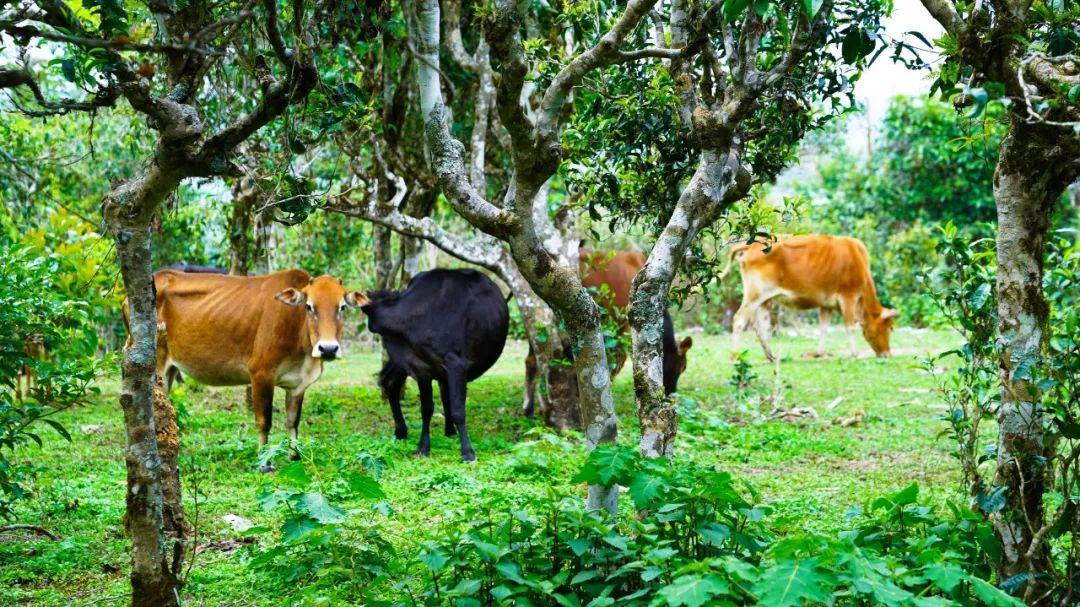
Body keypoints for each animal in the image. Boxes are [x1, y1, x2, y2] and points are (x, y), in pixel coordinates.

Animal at [130, 265, 365, 468]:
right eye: (309, 306)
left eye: (342, 307)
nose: (328, 349)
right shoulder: (261, 374)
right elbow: (264, 421)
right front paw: (264, 463)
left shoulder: (298, 385)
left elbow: (293, 421)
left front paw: (295, 456)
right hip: (156, 364)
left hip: (169, 371)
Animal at [362, 266, 509, 460]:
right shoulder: (420, 368)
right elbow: (426, 409)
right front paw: (423, 447)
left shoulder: (456, 364)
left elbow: (458, 409)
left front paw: (467, 452)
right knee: (391, 382)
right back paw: (404, 430)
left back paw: (447, 431)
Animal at [520, 248, 691, 412]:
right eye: (683, 367)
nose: (671, 394)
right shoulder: (621, 324)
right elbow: (616, 361)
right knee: (540, 358)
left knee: (533, 359)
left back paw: (531, 407)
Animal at [721, 234, 898, 358]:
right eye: (890, 327)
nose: (887, 353)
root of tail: (751, 246)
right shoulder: (848, 298)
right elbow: (849, 327)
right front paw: (855, 353)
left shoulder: (826, 305)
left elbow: (823, 328)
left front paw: (820, 353)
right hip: (754, 296)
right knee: (739, 320)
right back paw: (735, 356)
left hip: (763, 300)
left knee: (761, 327)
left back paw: (771, 356)